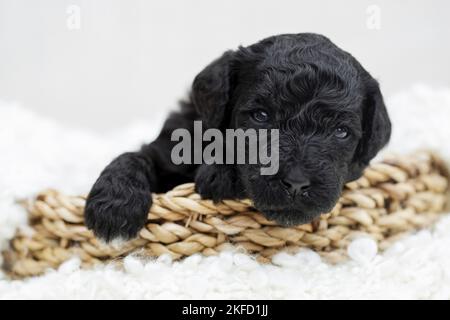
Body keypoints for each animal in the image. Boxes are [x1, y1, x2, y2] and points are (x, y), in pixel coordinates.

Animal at [84, 33, 390, 241]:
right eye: (261, 116)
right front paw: (114, 206)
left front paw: (221, 173)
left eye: (340, 131)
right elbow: (133, 157)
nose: (296, 183)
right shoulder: (170, 148)